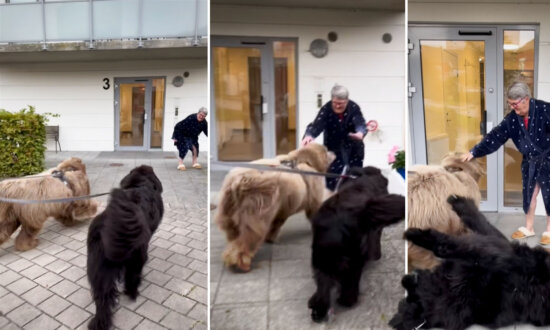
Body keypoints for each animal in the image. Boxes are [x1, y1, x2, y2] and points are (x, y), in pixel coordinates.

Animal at [87, 166, 163, 328]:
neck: (141, 184)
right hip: (137, 256)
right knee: (132, 275)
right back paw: (133, 292)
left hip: (98, 265)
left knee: (102, 297)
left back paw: (100, 322)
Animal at [216, 143, 336, 272]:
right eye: (325, 150)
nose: (333, 152)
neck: (302, 160)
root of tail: (239, 180)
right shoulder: (314, 197)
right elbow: (314, 210)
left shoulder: (282, 209)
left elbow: (277, 223)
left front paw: (270, 238)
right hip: (256, 210)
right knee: (246, 239)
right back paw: (243, 263)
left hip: (230, 209)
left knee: (235, 236)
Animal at [310, 166, 406, 320]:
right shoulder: (375, 229)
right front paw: (376, 255)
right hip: (353, 259)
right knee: (350, 283)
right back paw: (347, 301)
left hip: (321, 259)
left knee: (322, 285)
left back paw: (318, 310)